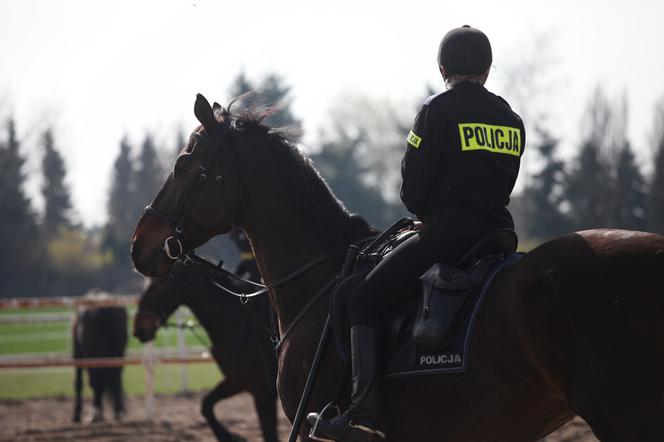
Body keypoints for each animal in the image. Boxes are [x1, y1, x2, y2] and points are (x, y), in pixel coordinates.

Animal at [134, 258, 278, 442]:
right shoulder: (237, 381)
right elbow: (206, 405)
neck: (235, 319)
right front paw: (229, 436)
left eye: (160, 283)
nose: (139, 329)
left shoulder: (263, 393)